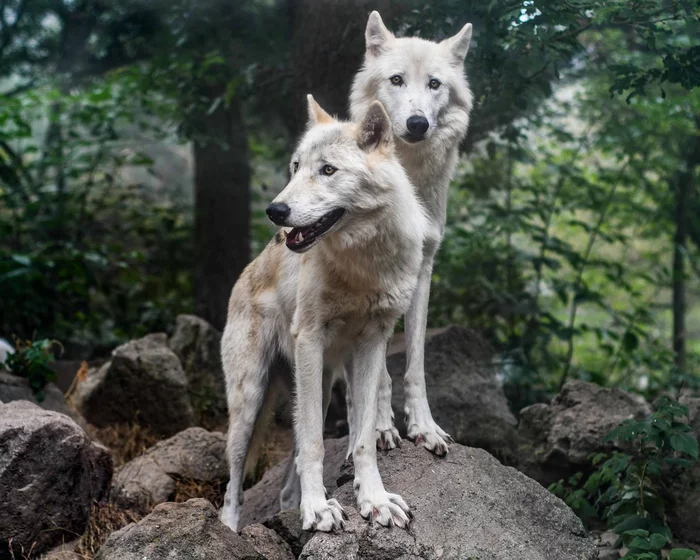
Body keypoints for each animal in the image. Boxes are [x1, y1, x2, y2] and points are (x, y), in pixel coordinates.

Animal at [219, 94, 426, 532]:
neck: (362, 266)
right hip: (250, 402)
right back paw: (229, 529)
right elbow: (314, 444)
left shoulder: (373, 344)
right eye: (296, 167)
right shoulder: (310, 339)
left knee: (286, 477)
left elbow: (363, 438)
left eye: (327, 170)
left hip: (322, 382)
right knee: (233, 486)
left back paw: (290, 506)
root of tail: (245, 273)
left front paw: (374, 500)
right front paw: (317, 509)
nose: (275, 210)